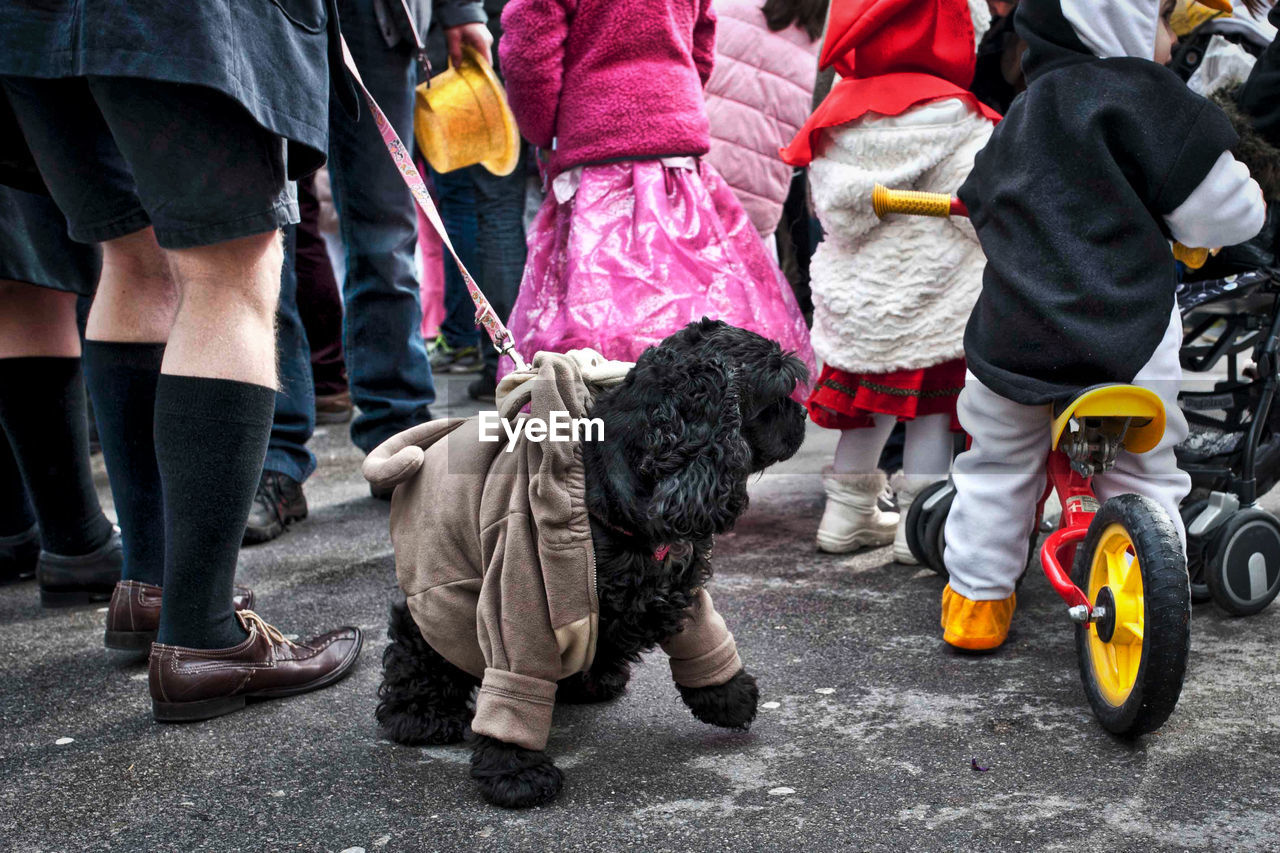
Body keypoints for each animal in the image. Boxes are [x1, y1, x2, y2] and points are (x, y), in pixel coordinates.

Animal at [373, 317, 803, 804]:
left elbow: (704, 637)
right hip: (442, 582)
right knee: (418, 636)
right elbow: (515, 681)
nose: (802, 416)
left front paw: (731, 698)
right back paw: (418, 714)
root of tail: (435, 442)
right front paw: (514, 772)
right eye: (778, 390)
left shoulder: (675, 584)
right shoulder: (520, 593)